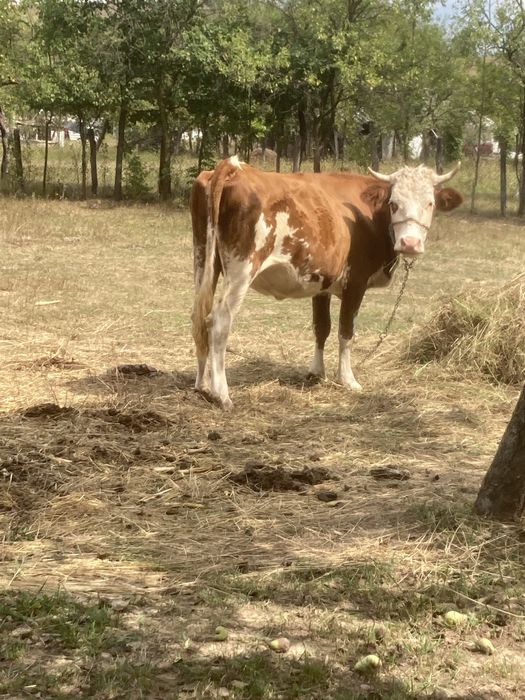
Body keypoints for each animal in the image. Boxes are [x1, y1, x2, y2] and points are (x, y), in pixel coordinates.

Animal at [191, 156, 463, 409]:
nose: (410, 244)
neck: (368, 216)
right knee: (219, 321)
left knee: (199, 317)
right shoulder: (356, 283)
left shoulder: (321, 284)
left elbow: (321, 328)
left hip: (204, 260)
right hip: (243, 269)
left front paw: (316, 373)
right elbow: (346, 331)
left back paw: (202, 385)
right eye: (394, 204)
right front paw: (347, 379)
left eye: (430, 203)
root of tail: (234, 167)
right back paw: (222, 394)